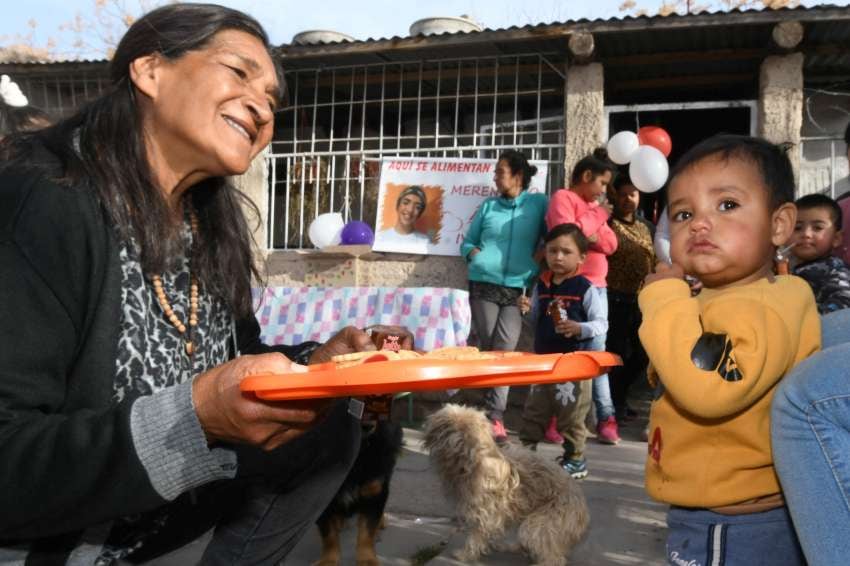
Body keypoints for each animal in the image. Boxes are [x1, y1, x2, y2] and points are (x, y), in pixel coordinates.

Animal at [420, 406, 588, 564]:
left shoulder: (486, 511)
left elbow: (477, 534)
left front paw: (466, 554)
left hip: (542, 524)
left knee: (554, 557)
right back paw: (513, 547)